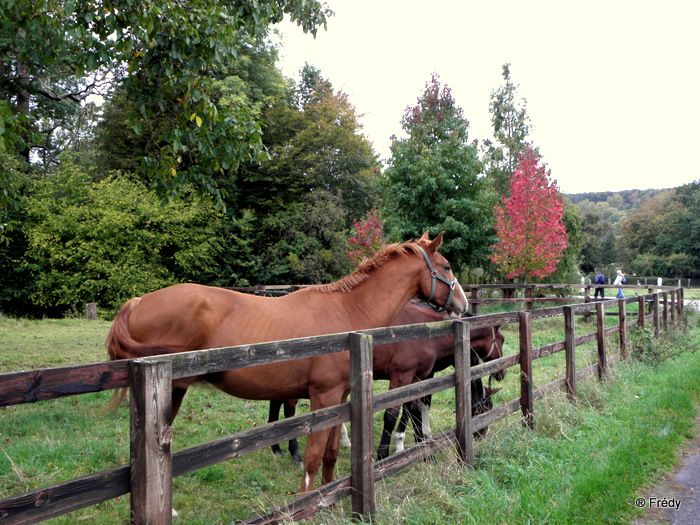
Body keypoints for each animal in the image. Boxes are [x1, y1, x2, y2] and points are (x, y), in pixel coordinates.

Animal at [105, 231, 464, 494]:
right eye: (446, 266)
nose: (462, 304)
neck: (346, 311)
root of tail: (139, 301)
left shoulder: (341, 398)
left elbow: (331, 452)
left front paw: (329, 496)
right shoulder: (323, 397)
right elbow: (313, 455)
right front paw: (308, 500)